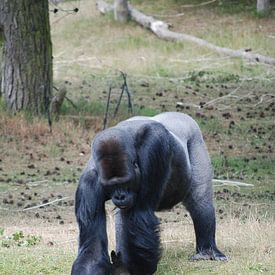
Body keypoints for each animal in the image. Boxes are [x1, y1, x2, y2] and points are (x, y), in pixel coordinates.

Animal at [71, 112, 229, 275]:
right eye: (112, 185)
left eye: (125, 182)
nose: (120, 196)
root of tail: (180, 115)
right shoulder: (88, 183)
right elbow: (93, 248)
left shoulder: (154, 144)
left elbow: (140, 214)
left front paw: (134, 269)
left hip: (195, 138)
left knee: (200, 201)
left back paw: (206, 250)